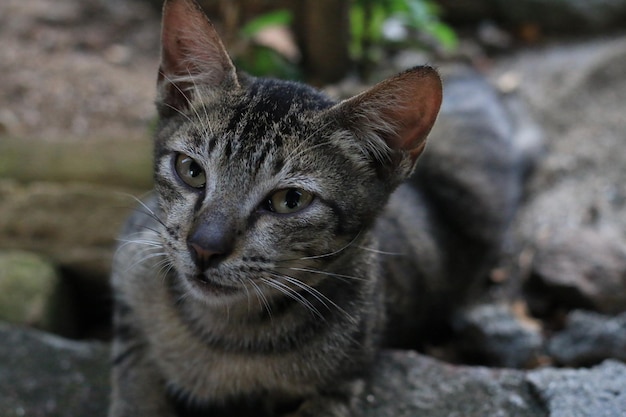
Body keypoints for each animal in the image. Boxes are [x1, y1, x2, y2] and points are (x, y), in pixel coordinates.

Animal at [109, 0, 520, 416]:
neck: (222, 330)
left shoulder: (343, 385)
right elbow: (134, 375)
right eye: (191, 170)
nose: (204, 248)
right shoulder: (132, 262)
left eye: (290, 201)